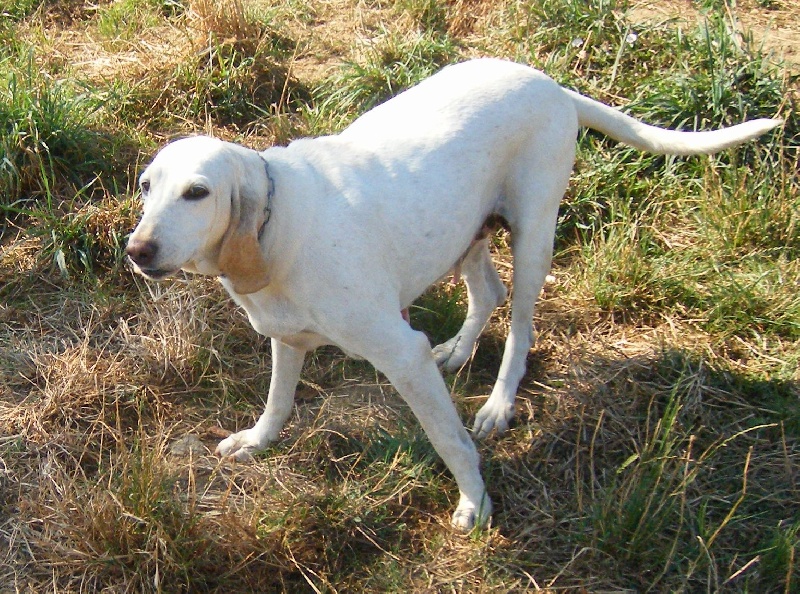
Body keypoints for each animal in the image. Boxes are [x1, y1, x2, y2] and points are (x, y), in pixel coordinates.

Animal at [126, 56, 780, 528]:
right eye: (146, 185)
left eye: (197, 193)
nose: (137, 251)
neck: (275, 221)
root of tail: (550, 84)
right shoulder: (287, 338)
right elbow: (278, 401)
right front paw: (258, 441)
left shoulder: (402, 356)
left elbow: (449, 439)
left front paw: (474, 501)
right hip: (464, 232)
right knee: (488, 292)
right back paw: (461, 350)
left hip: (534, 238)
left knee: (520, 327)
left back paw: (497, 404)